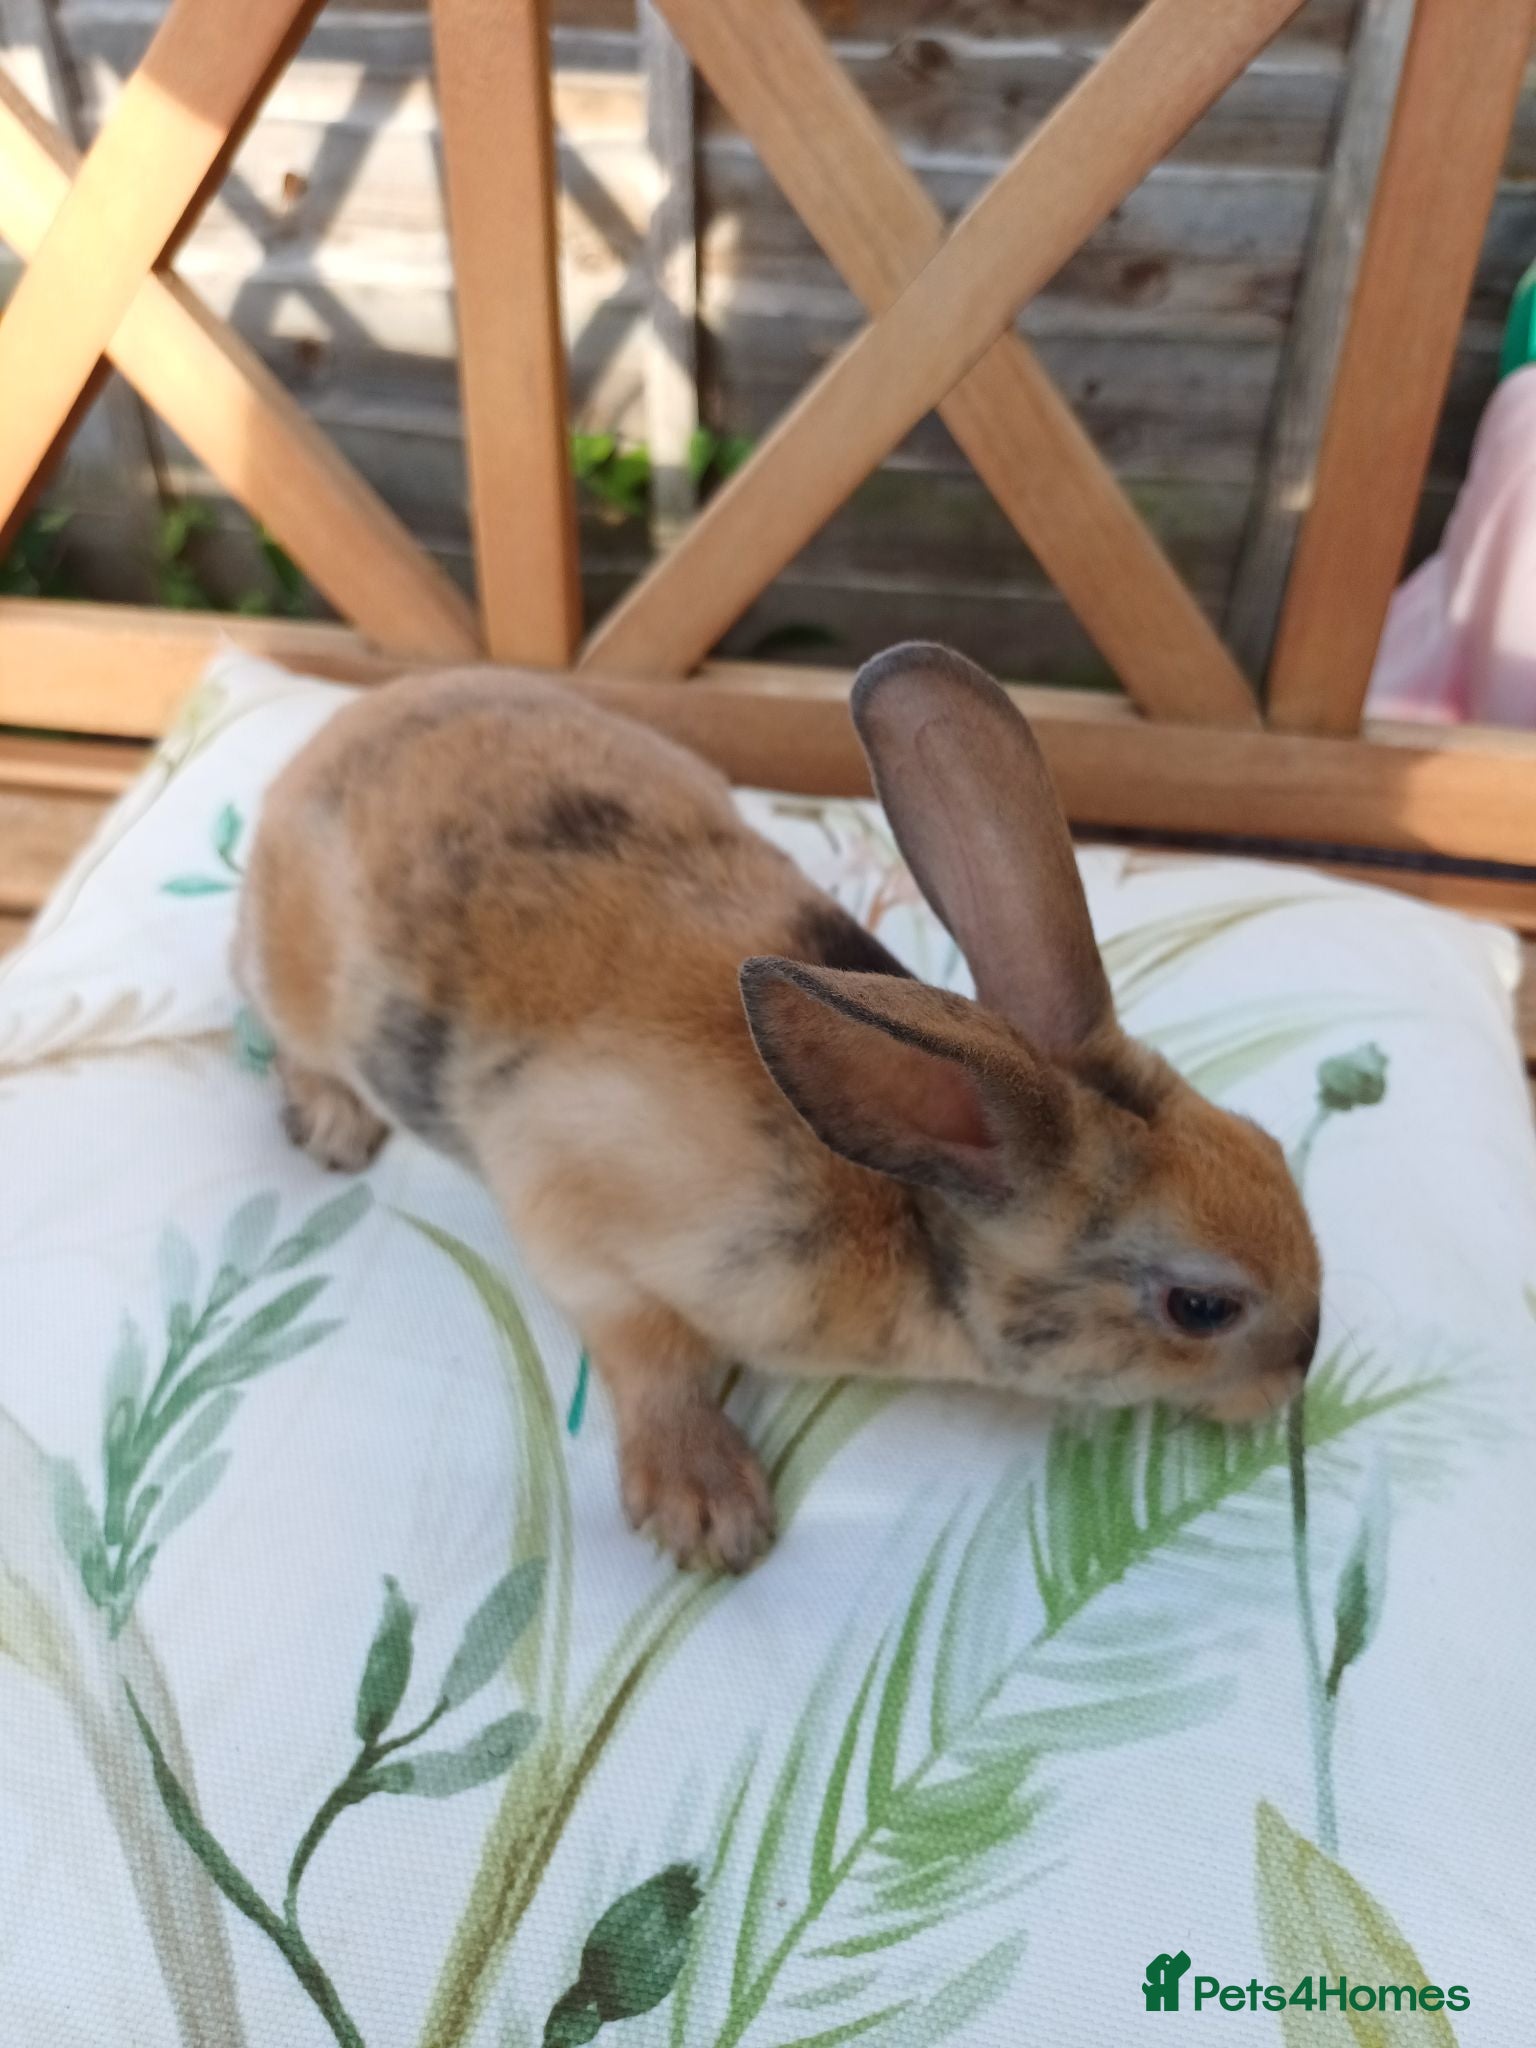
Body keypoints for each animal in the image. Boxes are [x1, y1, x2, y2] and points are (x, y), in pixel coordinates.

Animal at [235, 642, 1321, 1573]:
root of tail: (330, 740)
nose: (1299, 1372)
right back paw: (332, 1122)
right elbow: (648, 1348)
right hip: (297, 990)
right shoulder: (578, 1216)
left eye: (1269, 1145)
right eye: (1202, 1307)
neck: (905, 1204)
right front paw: (706, 1505)